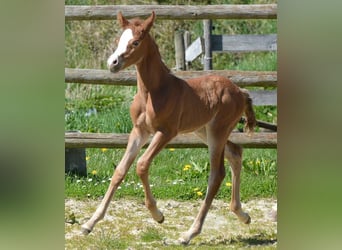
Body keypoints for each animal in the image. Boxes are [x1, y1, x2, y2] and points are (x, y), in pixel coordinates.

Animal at [81, 11, 256, 244]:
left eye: (135, 42)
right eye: (119, 40)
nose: (113, 63)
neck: (154, 91)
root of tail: (240, 91)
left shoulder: (166, 132)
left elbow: (141, 165)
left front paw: (157, 215)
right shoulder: (139, 131)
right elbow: (119, 171)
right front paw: (89, 223)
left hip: (217, 132)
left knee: (217, 174)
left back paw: (189, 234)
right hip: (204, 131)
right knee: (235, 153)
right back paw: (242, 214)